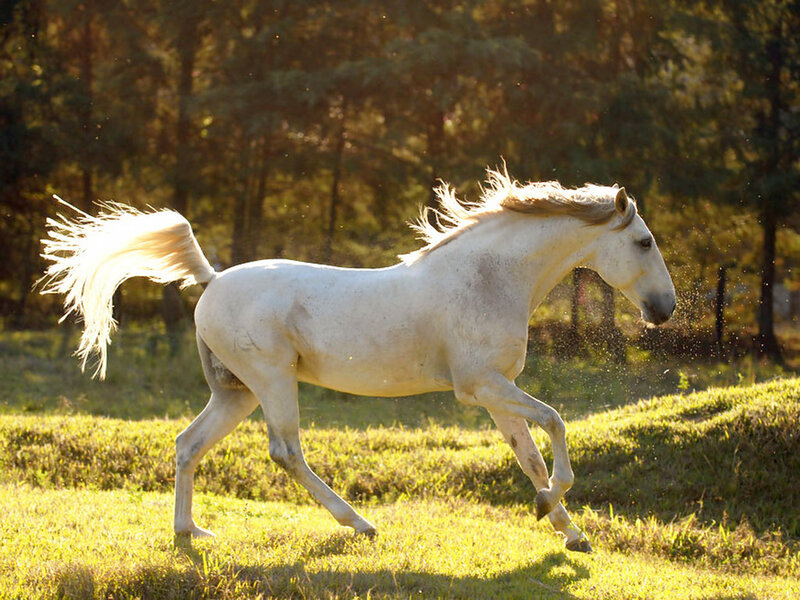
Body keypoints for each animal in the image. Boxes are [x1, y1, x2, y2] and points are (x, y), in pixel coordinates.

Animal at [40, 168, 675, 553]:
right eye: (644, 242)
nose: (664, 309)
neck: (490, 278)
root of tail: (212, 279)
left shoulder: (497, 393)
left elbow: (531, 458)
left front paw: (567, 531)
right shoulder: (480, 386)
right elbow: (557, 425)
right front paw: (553, 511)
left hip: (235, 393)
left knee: (187, 445)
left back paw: (190, 531)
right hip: (272, 382)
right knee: (286, 452)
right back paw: (360, 523)